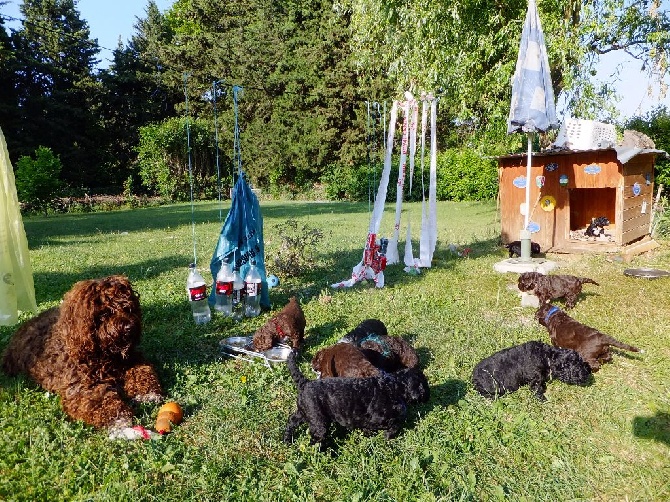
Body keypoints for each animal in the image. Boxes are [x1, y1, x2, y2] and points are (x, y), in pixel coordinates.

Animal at [1, 276, 165, 430]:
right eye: (105, 313)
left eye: (128, 308)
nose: (129, 327)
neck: (104, 356)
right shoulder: (79, 387)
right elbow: (99, 399)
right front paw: (118, 418)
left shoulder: (134, 360)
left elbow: (143, 371)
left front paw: (147, 394)